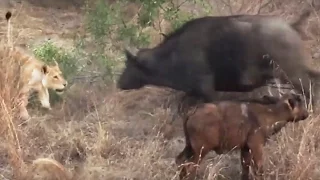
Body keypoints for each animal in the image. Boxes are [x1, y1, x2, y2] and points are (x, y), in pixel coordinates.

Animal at [176, 93, 308, 180]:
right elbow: (259, 169)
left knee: (180, 162)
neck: (271, 112)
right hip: (200, 151)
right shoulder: (256, 147)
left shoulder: (245, 149)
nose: (307, 114)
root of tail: (192, 111)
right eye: (299, 102)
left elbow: (245, 169)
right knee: (189, 168)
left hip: (189, 148)